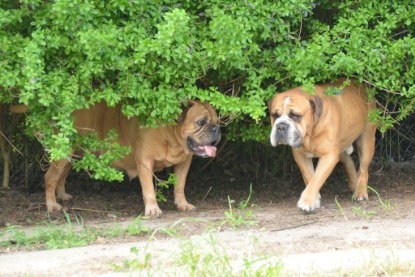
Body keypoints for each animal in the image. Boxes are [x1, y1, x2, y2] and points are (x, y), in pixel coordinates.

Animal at [10, 100, 221, 215]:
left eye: (217, 121)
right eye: (201, 122)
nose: (217, 129)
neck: (170, 133)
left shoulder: (185, 162)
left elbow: (179, 185)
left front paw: (182, 204)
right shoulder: (145, 162)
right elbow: (149, 190)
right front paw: (152, 209)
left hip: (72, 153)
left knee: (61, 175)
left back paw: (61, 196)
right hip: (64, 152)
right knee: (50, 177)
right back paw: (52, 205)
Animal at [268, 78, 378, 211]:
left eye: (296, 116)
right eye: (274, 115)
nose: (281, 126)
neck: (310, 133)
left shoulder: (329, 156)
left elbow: (317, 178)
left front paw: (307, 201)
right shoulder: (301, 155)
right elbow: (309, 176)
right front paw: (315, 199)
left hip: (366, 140)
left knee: (363, 169)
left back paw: (360, 191)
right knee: (347, 160)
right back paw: (354, 183)